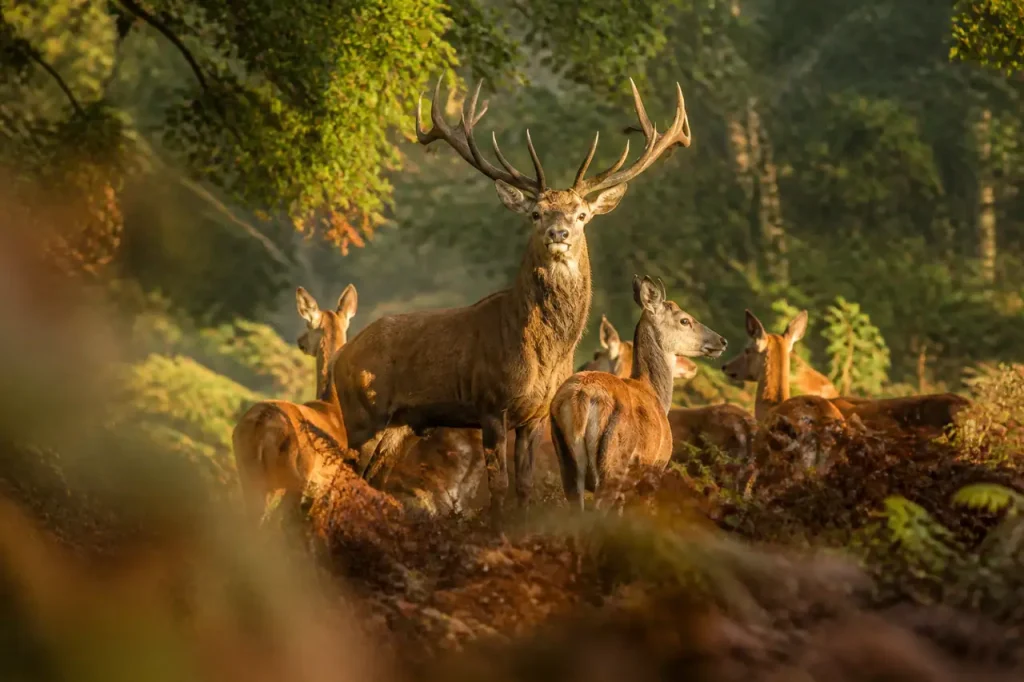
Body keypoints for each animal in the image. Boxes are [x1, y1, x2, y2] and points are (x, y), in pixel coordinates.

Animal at [232, 285, 358, 523]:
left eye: (308, 326)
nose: (300, 340)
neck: (331, 407)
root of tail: (262, 425)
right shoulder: (325, 487)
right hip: (289, 478)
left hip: (247, 472)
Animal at [332, 76, 693, 521]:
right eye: (536, 214)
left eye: (582, 215)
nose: (559, 234)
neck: (541, 353)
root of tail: (341, 357)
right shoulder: (490, 404)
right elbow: (499, 490)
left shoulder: (535, 415)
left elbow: (523, 488)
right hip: (359, 414)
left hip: (398, 424)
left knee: (372, 478)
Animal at [549, 276, 728, 511]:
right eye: (684, 320)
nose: (722, 341)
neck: (655, 393)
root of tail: (583, 396)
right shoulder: (655, 470)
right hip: (613, 464)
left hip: (566, 461)